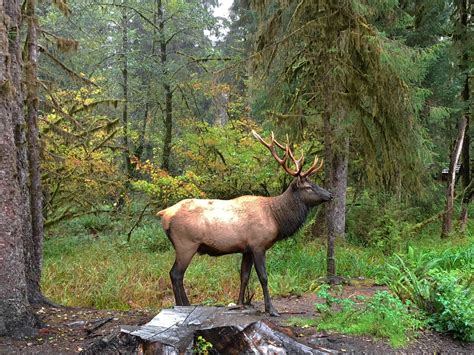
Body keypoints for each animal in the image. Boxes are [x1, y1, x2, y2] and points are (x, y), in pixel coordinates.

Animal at [157, 131, 332, 318]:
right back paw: (182, 305)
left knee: (177, 274)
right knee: (176, 274)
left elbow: (244, 276)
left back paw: (186, 305)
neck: (276, 218)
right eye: (309, 186)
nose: (330, 194)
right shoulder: (258, 244)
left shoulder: (246, 249)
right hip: (186, 244)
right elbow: (263, 277)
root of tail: (164, 214)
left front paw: (240, 304)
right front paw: (271, 309)